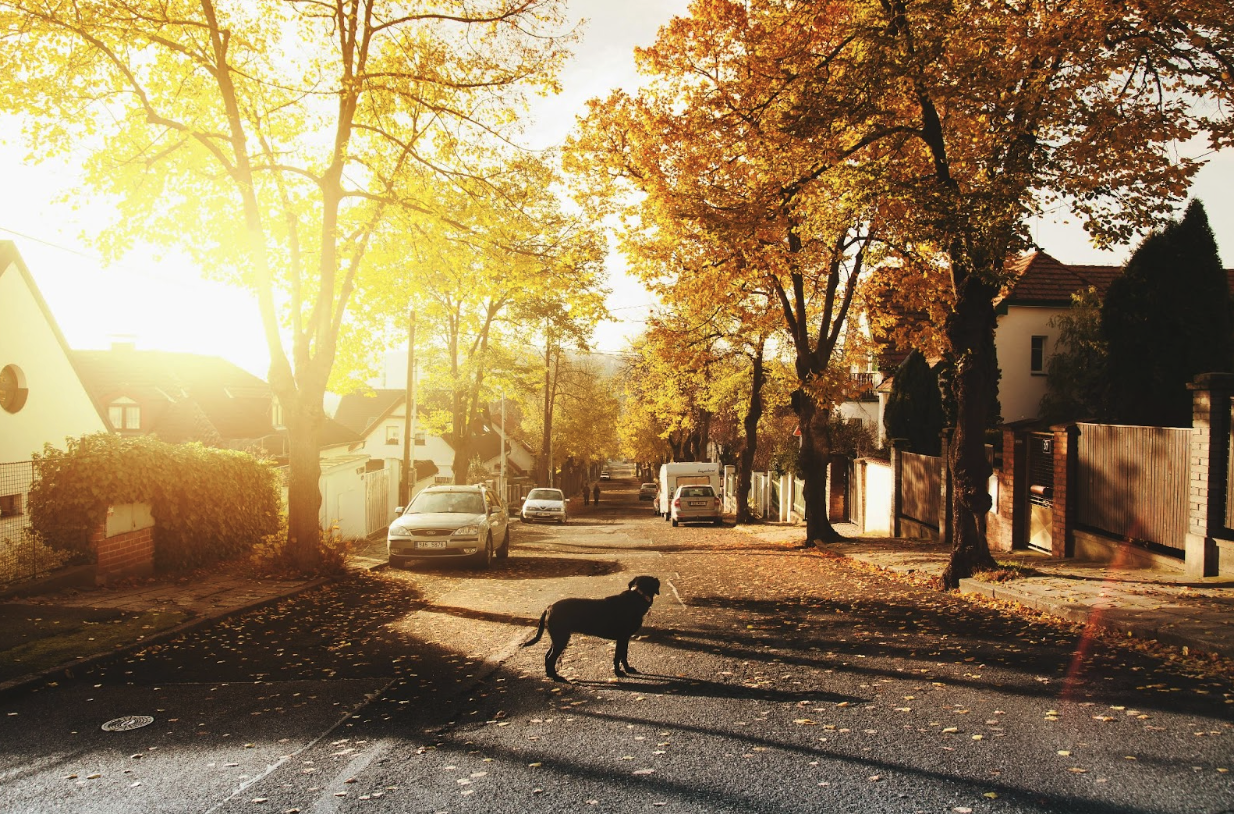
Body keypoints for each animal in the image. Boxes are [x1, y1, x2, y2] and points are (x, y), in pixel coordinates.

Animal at [523, 574, 661, 685]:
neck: (637, 596)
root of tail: (549, 607)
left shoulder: (625, 638)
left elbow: (624, 655)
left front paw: (628, 669)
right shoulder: (621, 637)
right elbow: (618, 656)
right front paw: (618, 673)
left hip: (557, 638)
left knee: (547, 656)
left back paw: (549, 674)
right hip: (561, 638)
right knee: (551, 658)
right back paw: (556, 677)